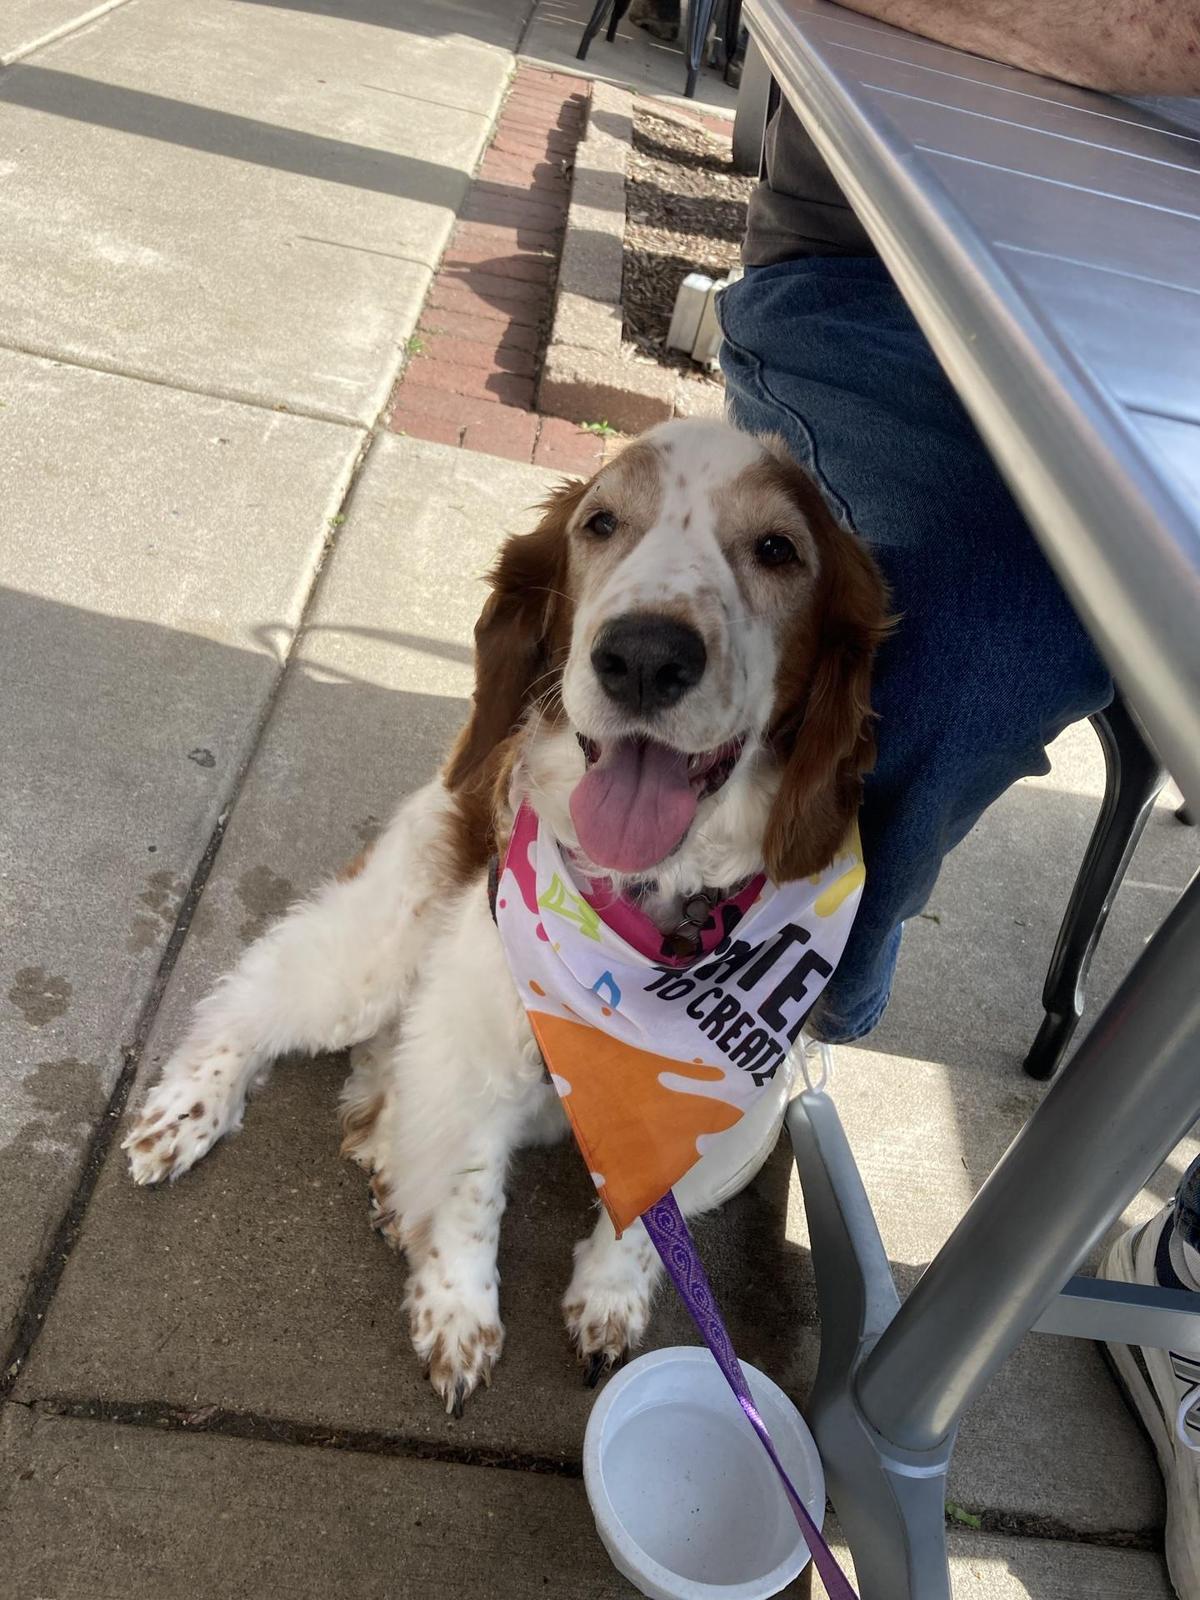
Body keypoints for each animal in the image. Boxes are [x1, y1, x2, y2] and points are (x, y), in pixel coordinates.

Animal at [124, 422, 896, 1414]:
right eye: (600, 522)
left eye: (777, 549)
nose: (644, 655)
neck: (653, 919)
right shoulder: (477, 1039)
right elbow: (467, 1184)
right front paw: (457, 1311)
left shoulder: (713, 1110)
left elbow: (647, 1214)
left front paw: (608, 1297)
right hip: (377, 954)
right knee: (257, 997)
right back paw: (190, 1112)